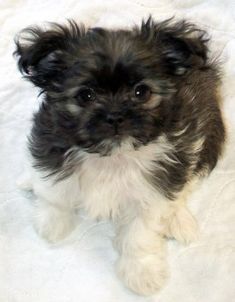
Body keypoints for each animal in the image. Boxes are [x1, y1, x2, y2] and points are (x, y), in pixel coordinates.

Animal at [14, 18, 226, 294]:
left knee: (186, 182)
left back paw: (179, 220)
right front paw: (52, 223)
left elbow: (139, 235)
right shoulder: (52, 146)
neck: (112, 155)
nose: (115, 116)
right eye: (86, 95)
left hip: (206, 142)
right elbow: (54, 193)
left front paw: (142, 272)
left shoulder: (154, 188)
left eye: (141, 92)